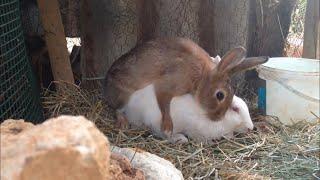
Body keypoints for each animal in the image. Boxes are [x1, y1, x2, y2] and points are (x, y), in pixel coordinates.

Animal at [104, 37, 266, 136]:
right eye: (220, 95)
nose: (218, 118)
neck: (201, 76)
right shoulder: (168, 85)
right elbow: (164, 104)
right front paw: (167, 127)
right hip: (123, 95)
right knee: (117, 109)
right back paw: (122, 122)